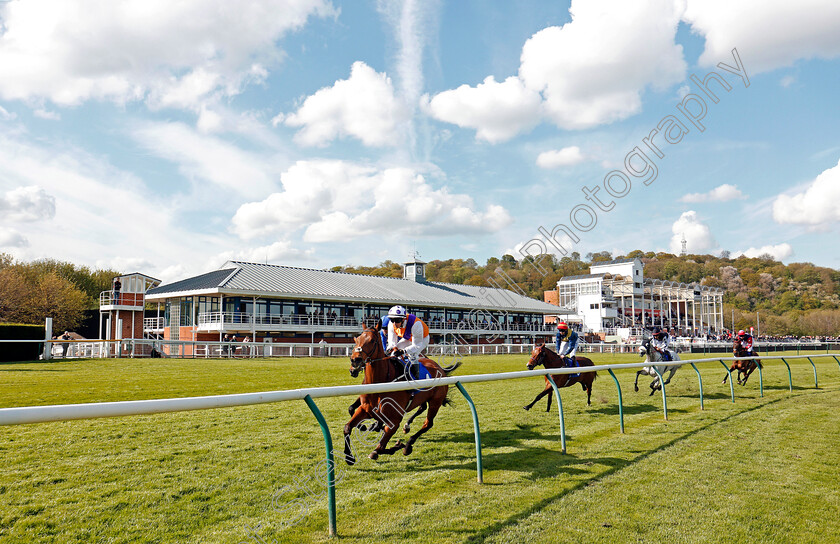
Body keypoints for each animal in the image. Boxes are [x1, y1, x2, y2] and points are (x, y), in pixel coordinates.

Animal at [342, 324, 460, 464]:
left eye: (372, 340)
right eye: (357, 339)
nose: (355, 361)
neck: (382, 381)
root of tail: (440, 369)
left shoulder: (395, 419)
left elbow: (380, 447)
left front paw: (397, 446)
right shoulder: (365, 408)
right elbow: (348, 426)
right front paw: (349, 456)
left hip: (435, 402)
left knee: (428, 423)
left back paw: (408, 444)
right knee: (422, 409)